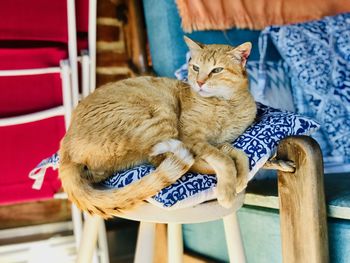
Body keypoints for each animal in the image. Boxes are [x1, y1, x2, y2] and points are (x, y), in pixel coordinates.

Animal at [58, 36, 258, 219]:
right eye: (196, 68)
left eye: (216, 70)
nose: (200, 83)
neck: (225, 105)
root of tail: (65, 147)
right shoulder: (191, 138)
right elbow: (223, 159)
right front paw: (229, 189)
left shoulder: (220, 142)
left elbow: (234, 152)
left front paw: (241, 175)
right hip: (162, 116)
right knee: (173, 161)